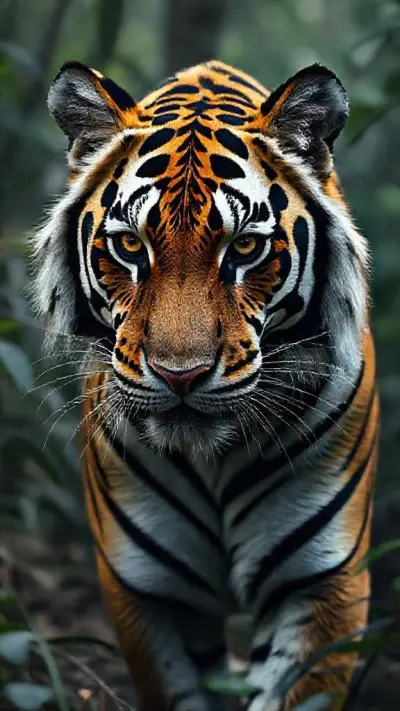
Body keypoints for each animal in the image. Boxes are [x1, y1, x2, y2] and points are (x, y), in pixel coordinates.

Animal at [31, 58, 378, 711]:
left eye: (244, 247)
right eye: (130, 244)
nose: (181, 374)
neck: (213, 460)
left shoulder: (323, 583)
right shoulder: (152, 592)